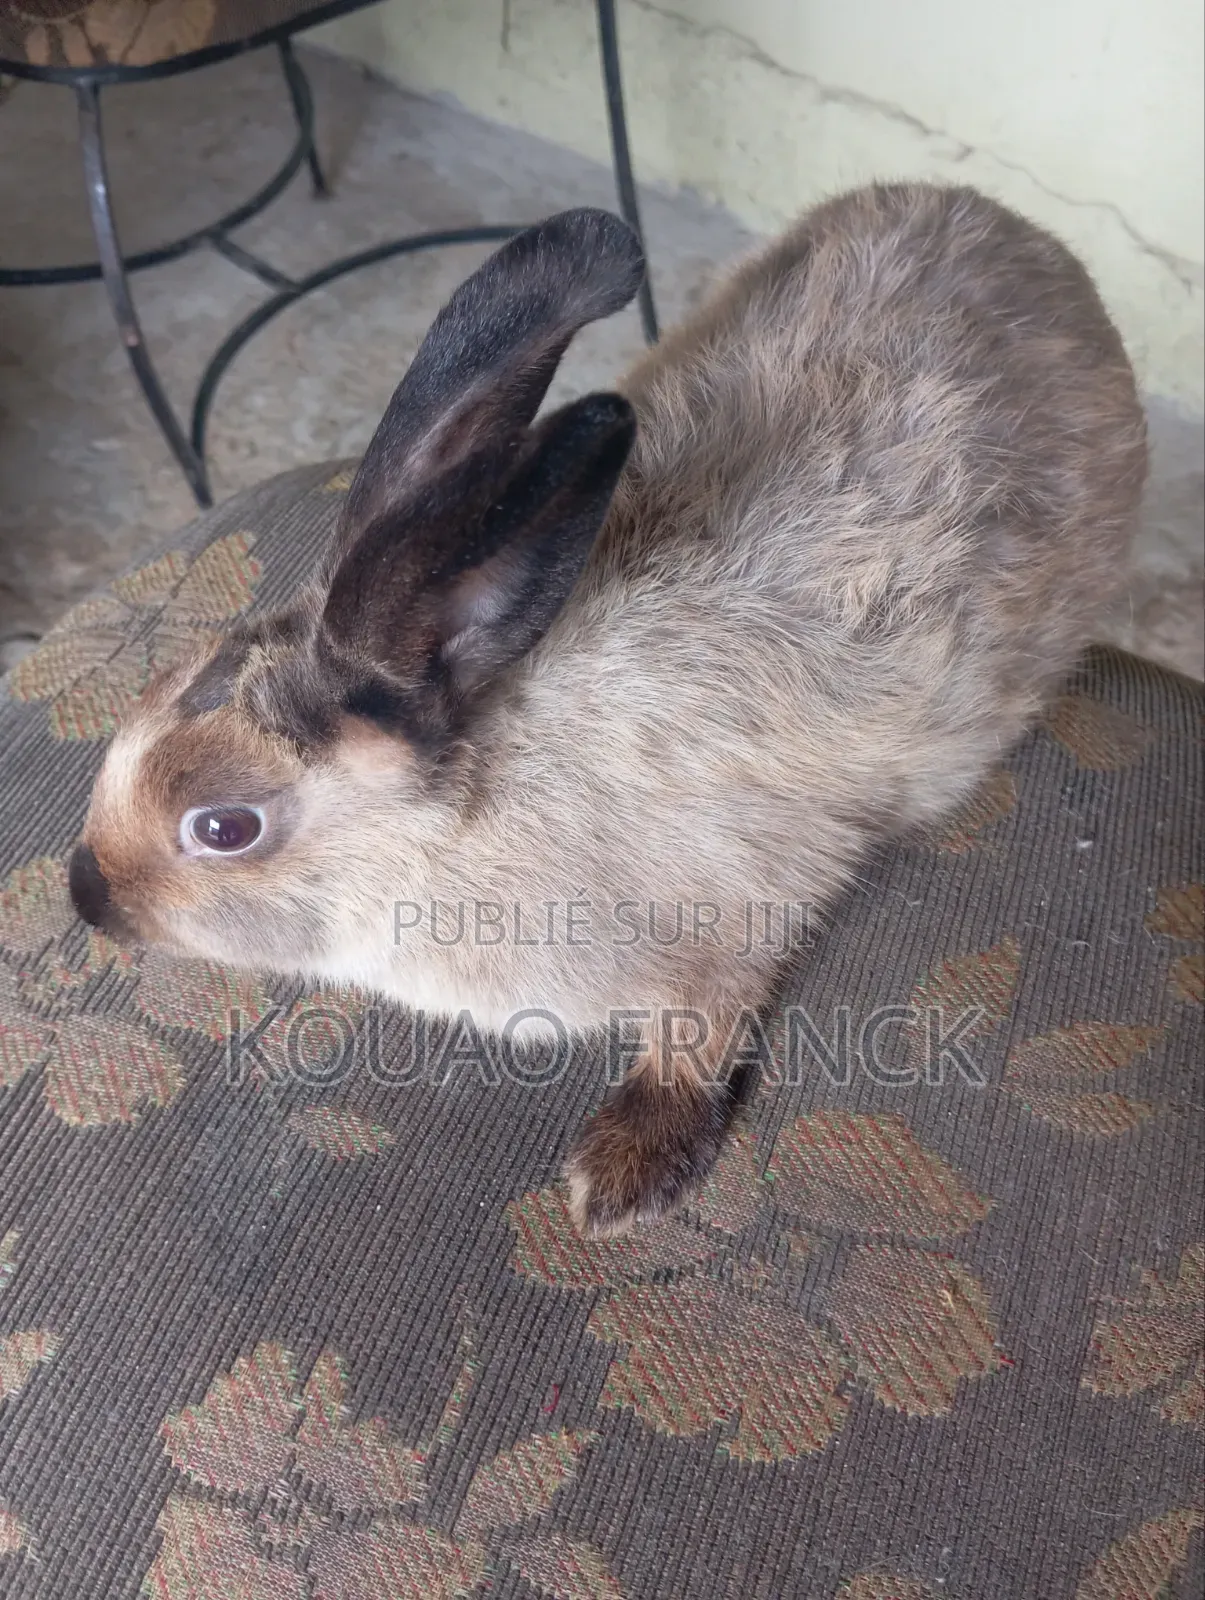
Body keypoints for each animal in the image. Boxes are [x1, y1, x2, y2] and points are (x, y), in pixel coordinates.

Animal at [70, 186, 1147, 1236]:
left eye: (223, 827)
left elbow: (698, 1032)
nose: (89, 899)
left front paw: (623, 1179)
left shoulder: (735, 920)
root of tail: (1024, 241)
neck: (485, 796)